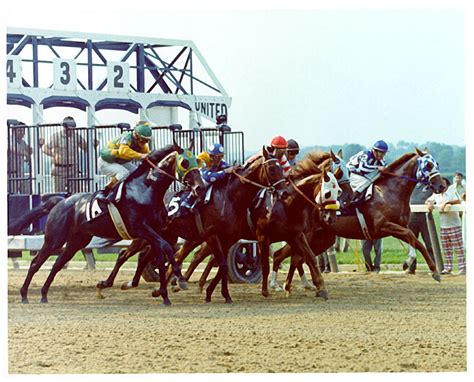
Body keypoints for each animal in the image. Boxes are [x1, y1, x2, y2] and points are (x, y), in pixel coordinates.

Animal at [19, 142, 205, 306]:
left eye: (197, 161)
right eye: (185, 162)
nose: (200, 187)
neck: (146, 189)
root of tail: (60, 201)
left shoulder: (157, 231)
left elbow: (160, 255)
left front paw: (165, 295)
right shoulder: (141, 229)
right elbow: (165, 248)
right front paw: (180, 279)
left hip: (77, 241)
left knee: (57, 264)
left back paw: (44, 294)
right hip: (55, 238)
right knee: (36, 262)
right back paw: (24, 294)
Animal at [96, 146, 288, 304]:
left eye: (281, 167)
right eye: (272, 169)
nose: (285, 192)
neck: (230, 197)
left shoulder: (228, 239)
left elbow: (221, 266)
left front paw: (218, 293)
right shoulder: (212, 236)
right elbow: (222, 264)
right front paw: (221, 294)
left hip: (166, 236)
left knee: (146, 257)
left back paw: (146, 286)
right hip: (145, 234)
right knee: (125, 254)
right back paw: (109, 284)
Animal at [272, 148, 446, 290]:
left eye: (437, 163)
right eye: (428, 165)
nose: (442, 186)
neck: (389, 191)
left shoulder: (400, 226)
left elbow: (415, 242)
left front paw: (429, 270)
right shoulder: (384, 226)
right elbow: (412, 237)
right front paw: (413, 264)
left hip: (321, 239)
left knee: (295, 257)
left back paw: (298, 285)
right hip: (305, 235)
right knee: (284, 256)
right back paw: (280, 285)